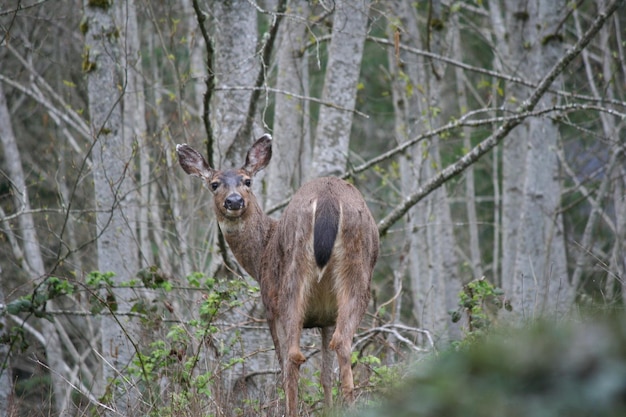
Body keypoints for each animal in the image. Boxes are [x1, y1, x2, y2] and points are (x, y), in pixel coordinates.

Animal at [178, 135, 378, 414]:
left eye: (247, 181)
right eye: (214, 184)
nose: (234, 201)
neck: (261, 252)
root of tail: (327, 201)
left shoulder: (270, 307)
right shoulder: (326, 317)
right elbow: (326, 376)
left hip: (291, 279)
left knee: (292, 357)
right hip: (357, 271)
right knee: (343, 343)